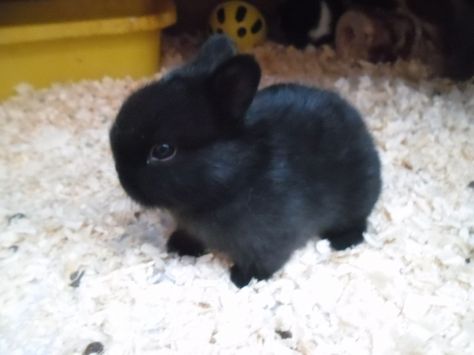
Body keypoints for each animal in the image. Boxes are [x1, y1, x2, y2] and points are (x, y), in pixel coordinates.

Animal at [110, 34, 382, 288]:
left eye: (163, 150)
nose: (124, 181)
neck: (235, 178)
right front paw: (179, 246)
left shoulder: (270, 238)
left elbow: (264, 259)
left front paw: (244, 279)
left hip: (356, 201)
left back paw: (342, 242)